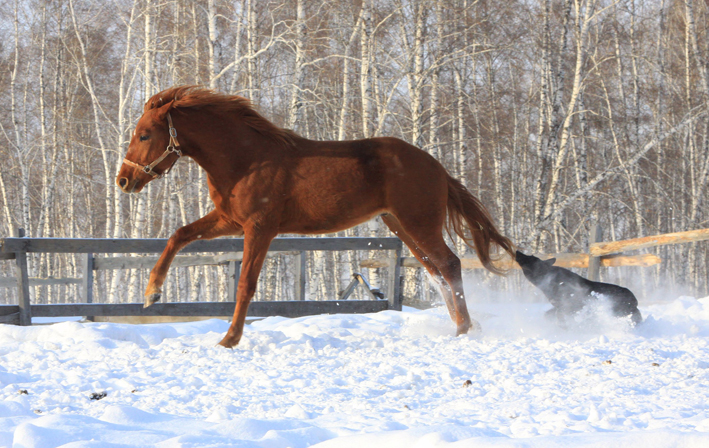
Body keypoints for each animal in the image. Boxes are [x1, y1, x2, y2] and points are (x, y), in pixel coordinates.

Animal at [117, 86, 516, 348]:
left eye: (144, 134)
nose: (123, 180)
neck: (247, 158)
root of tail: (437, 167)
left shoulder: (259, 228)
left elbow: (246, 284)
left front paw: (229, 339)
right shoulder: (230, 220)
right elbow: (179, 234)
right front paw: (152, 293)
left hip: (419, 223)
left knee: (449, 265)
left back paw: (464, 330)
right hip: (402, 226)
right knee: (436, 271)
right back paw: (461, 325)